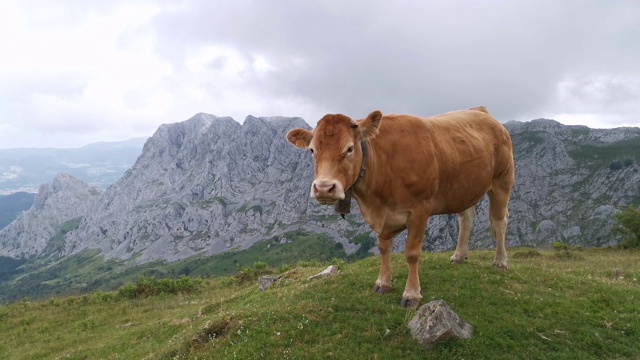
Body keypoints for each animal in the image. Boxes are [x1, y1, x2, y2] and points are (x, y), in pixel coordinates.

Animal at [284, 105, 516, 308]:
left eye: (349, 149)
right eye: (312, 150)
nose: (324, 188)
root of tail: (481, 111)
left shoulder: (419, 210)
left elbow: (411, 253)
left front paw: (411, 294)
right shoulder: (380, 216)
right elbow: (383, 248)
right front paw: (383, 282)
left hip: (502, 181)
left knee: (500, 221)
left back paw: (501, 261)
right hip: (465, 188)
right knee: (466, 218)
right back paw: (459, 256)